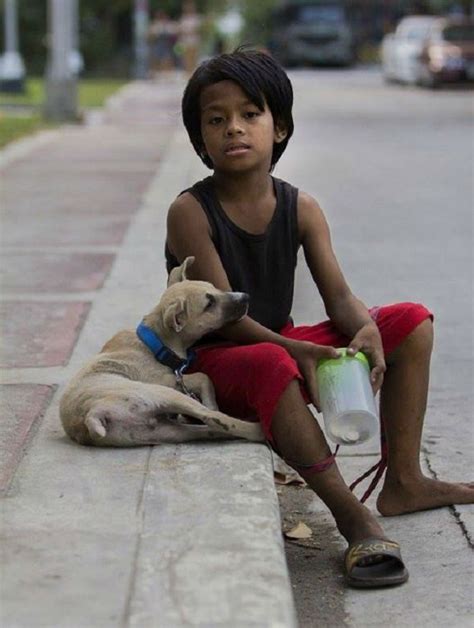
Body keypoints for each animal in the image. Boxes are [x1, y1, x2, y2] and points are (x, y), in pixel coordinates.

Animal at [59, 258, 264, 446]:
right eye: (209, 304)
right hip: (163, 394)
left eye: (214, 287)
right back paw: (255, 429)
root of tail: (89, 417)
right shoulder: (167, 380)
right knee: (214, 418)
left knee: (210, 429)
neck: (155, 341)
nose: (245, 297)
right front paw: (211, 402)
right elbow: (203, 376)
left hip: (164, 431)